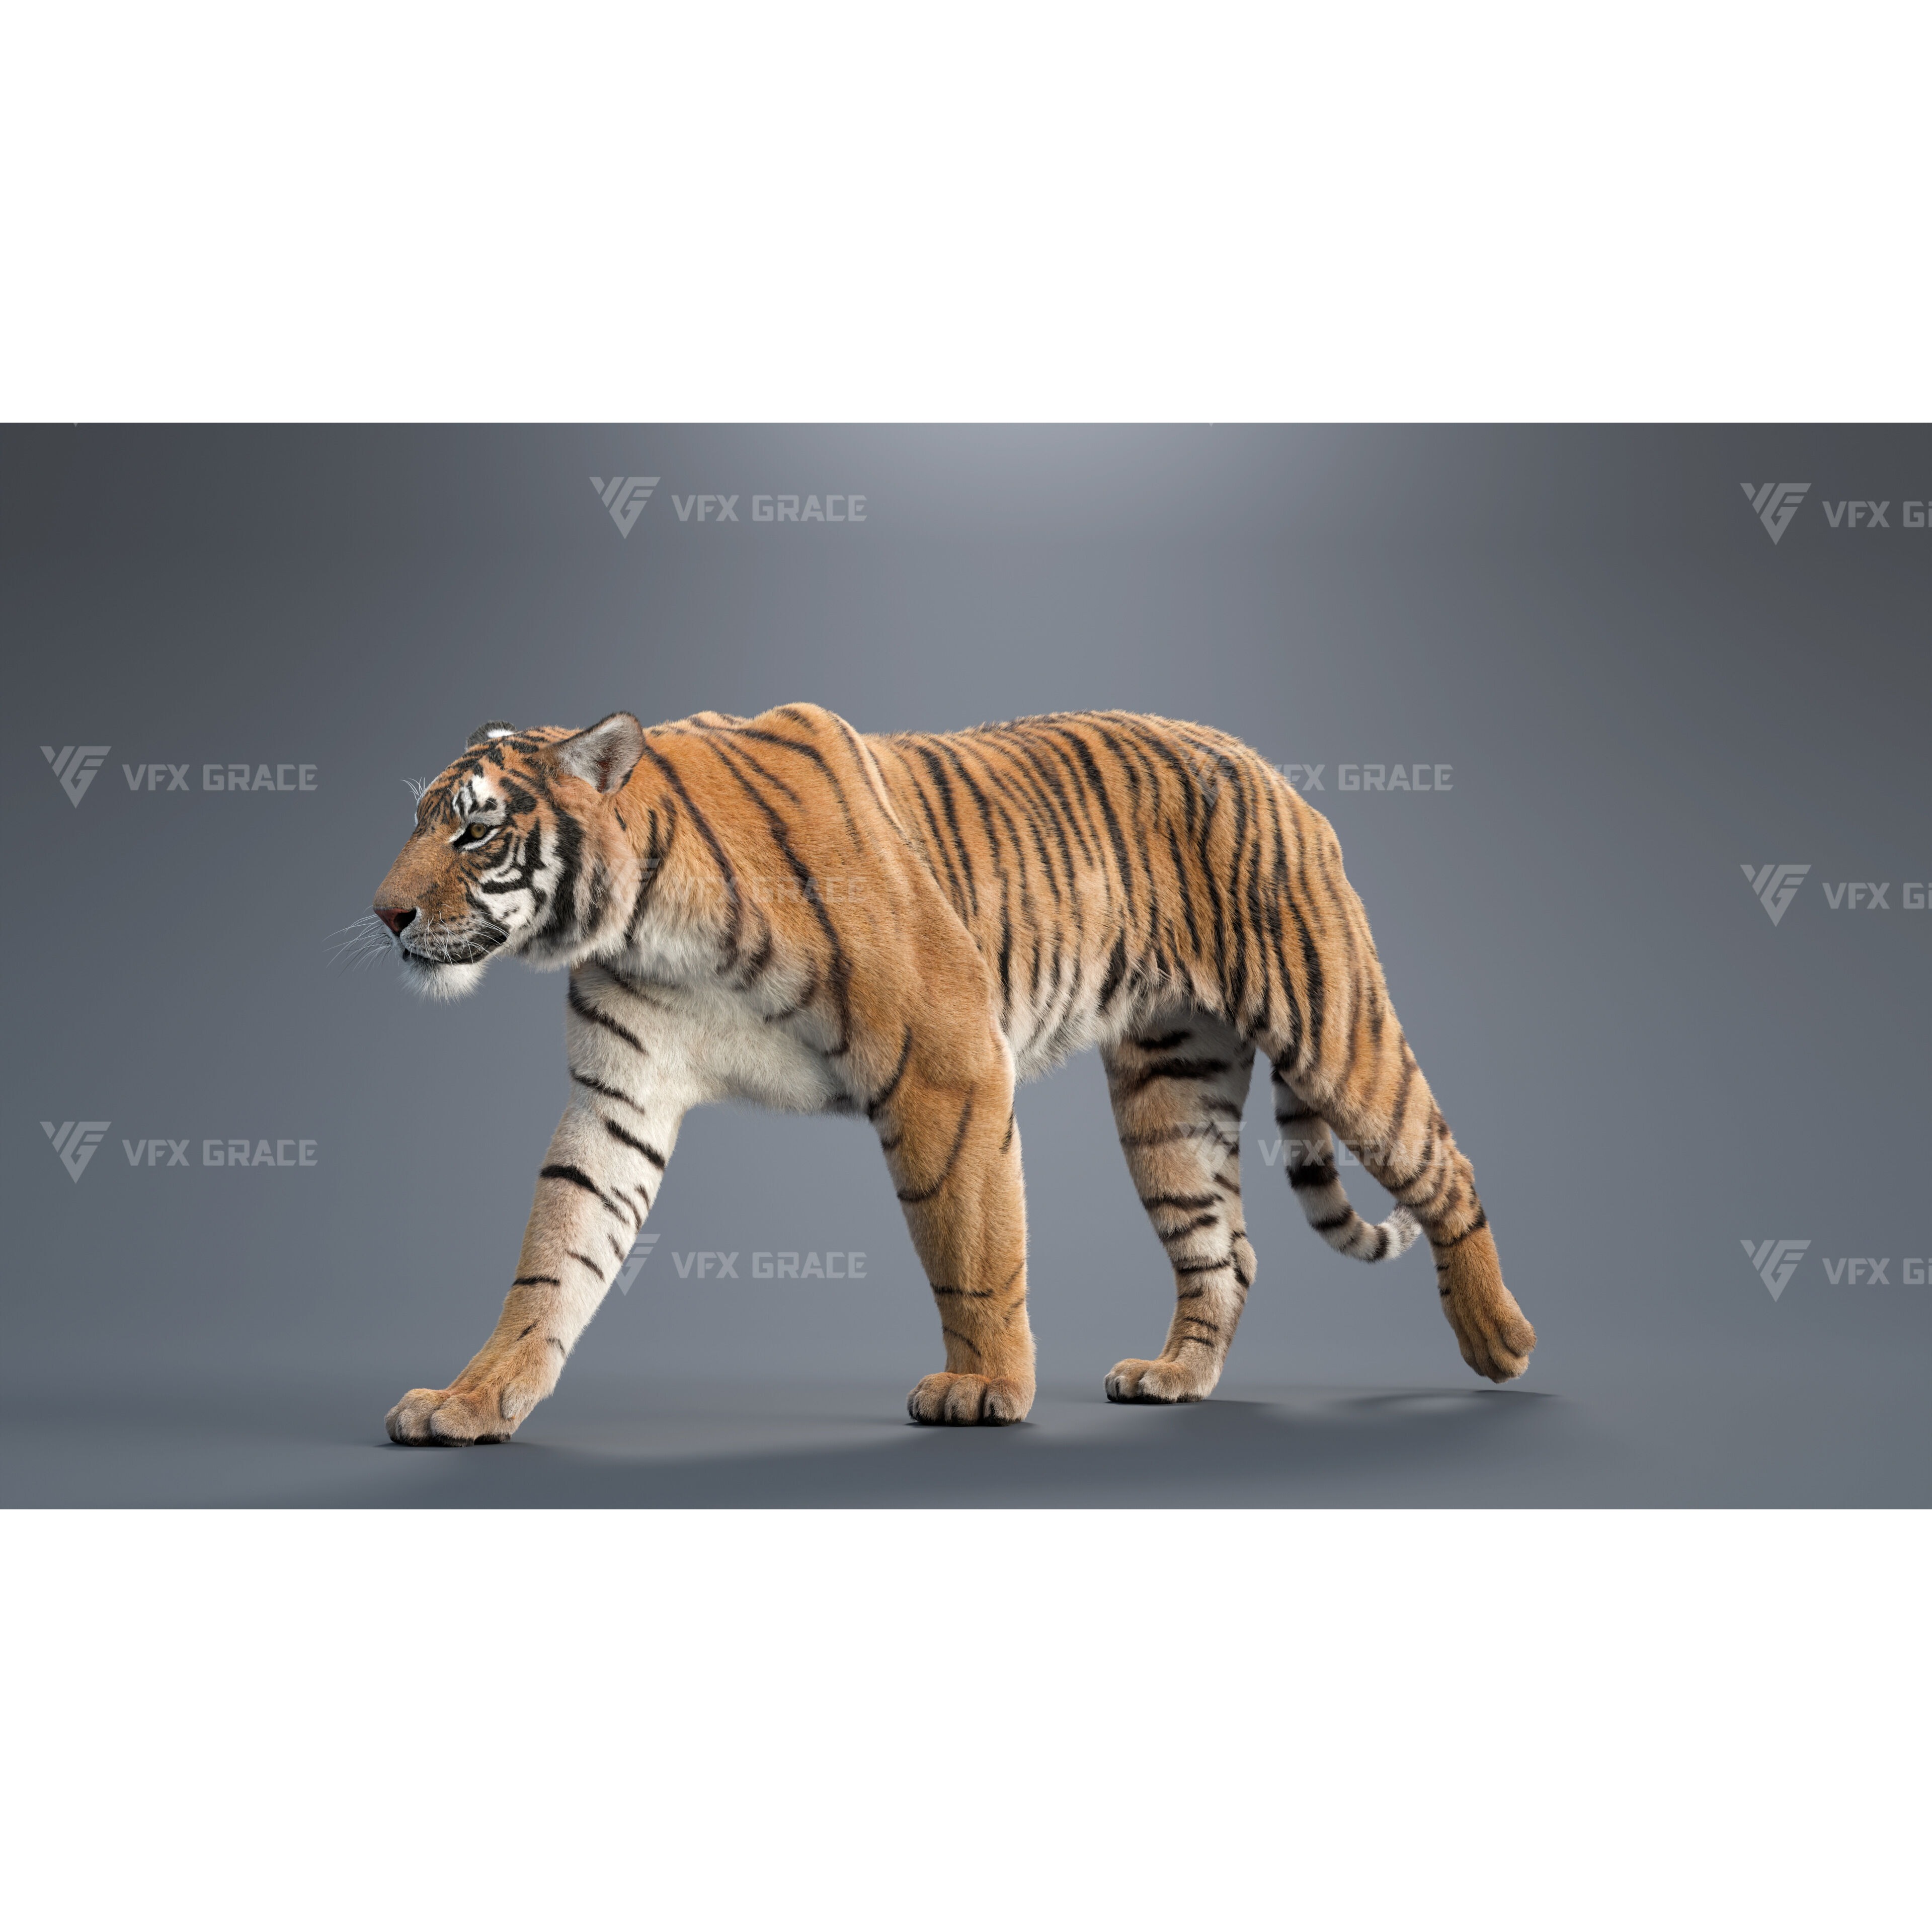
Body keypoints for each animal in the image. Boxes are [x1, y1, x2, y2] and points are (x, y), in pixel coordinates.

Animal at [372, 705, 1535, 1442]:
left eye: (476, 833)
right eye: (419, 822)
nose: (385, 913)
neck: (645, 919)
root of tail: (1265, 767)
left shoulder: (946, 1060)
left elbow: (971, 1242)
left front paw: (983, 1389)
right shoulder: (619, 1099)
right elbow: (554, 1259)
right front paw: (474, 1401)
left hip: (1330, 1025)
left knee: (1446, 1164)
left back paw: (1500, 1341)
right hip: (1170, 1093)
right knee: (1226, 1249)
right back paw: (1175, 1378)